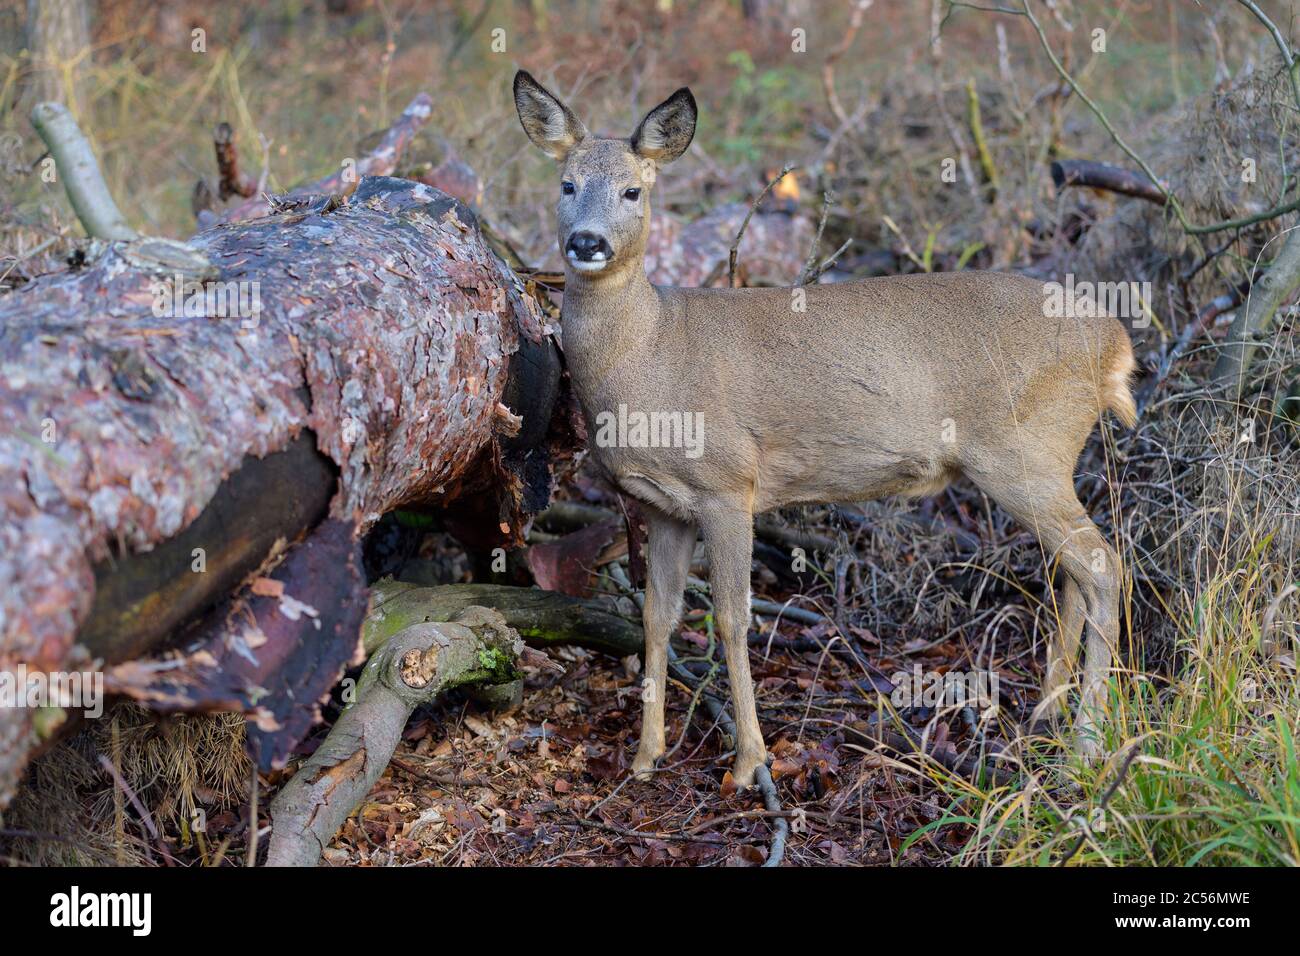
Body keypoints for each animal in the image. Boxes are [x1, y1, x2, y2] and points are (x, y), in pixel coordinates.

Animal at [512, 71, 1136, 789]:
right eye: (566, 183)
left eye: (632, 191)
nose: (586, 242)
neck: (649, 352)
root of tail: (1114, 343)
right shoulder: (664, 505)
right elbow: (656, 616)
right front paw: (646, 757)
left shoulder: (729, 482)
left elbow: (731, 617)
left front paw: (748, 762)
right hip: (1048, 459)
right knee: (1072, 571)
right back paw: (1046, 714)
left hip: (1024, 450)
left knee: (1103, 564)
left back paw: (1087, 743)